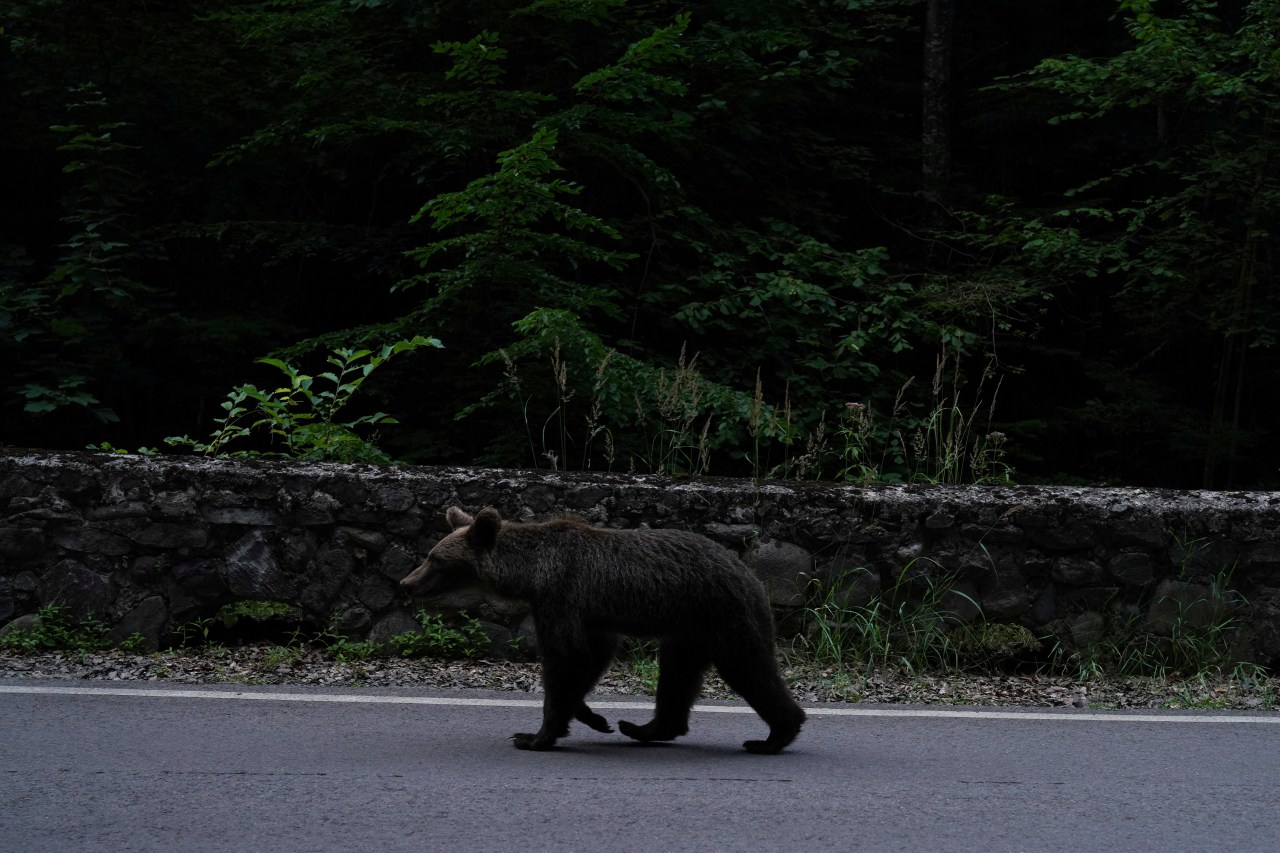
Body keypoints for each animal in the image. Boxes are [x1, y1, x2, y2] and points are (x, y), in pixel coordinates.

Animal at [399, 506, 805, 754]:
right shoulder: (590, 617)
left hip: (722, 614)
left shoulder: (560, 596)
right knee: (678, 673)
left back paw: (774, 735)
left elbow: (565, 658)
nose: (406, 583)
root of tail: (752, 575)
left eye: (435, 559)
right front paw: (594, 717)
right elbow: (589, 659)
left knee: (747, 666)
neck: (530, 574)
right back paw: (642, 727)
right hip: (690, 630)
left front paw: (534, 735)